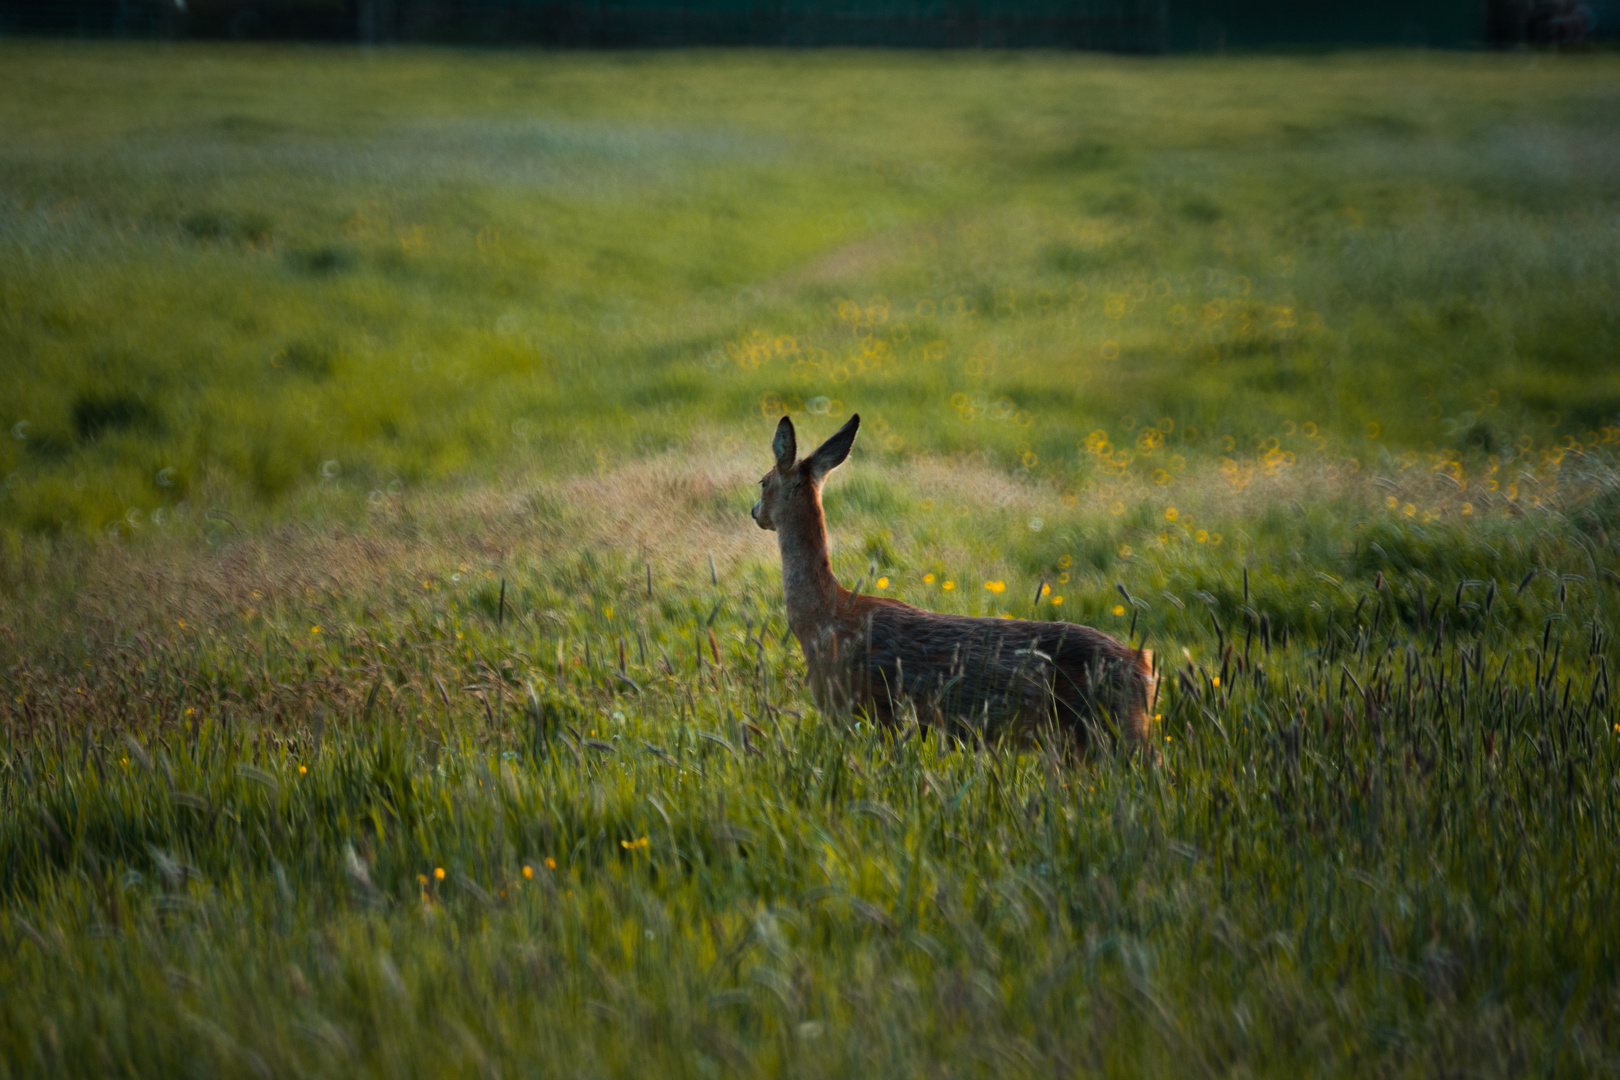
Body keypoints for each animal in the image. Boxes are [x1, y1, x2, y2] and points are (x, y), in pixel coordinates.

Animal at [751, 411, 1159, 751]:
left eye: (763, 482)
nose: (755, 512)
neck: (826, 615)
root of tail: (1144, 667)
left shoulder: (860, 709)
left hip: (1108, 734)